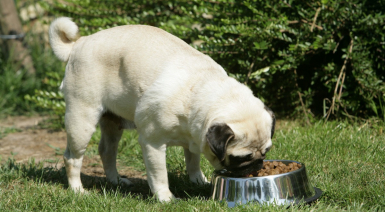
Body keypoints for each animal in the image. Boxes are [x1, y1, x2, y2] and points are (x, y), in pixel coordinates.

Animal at [49, 17, 274, 201]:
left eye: (266, 151)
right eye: (241, 158)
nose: (258, 164)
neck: (201, 87)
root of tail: (79, 43)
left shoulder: (196, 135)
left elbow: (193, 161)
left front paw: (198, 181)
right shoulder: (153, 143)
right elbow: (159, 174)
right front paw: (165, 197)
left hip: (112, 123)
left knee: (107, 151)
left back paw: (116, 181)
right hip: (82, 120)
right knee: (72, 158)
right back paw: (78, 190)